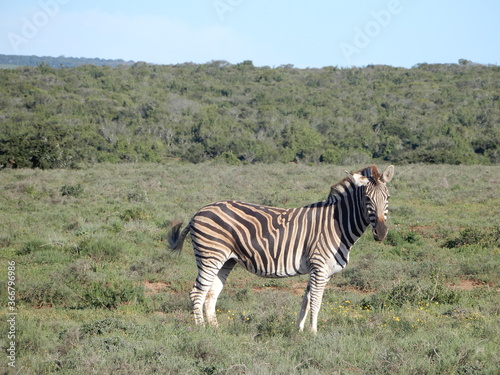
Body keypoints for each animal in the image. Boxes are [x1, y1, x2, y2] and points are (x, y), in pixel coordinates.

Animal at [168, 166, 394, 334]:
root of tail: (199, 211)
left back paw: (216, 330)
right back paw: (201, 331)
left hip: (226, 261)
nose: (381, 233)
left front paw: (299, 331)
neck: (337, 224)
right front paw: (313, 333)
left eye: (388, 197)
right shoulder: (320, 267)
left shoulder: (319, 270)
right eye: (367, 199)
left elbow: (306, 301)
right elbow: (316, 302)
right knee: (197, 292)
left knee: (210, 294)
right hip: (210, 256)